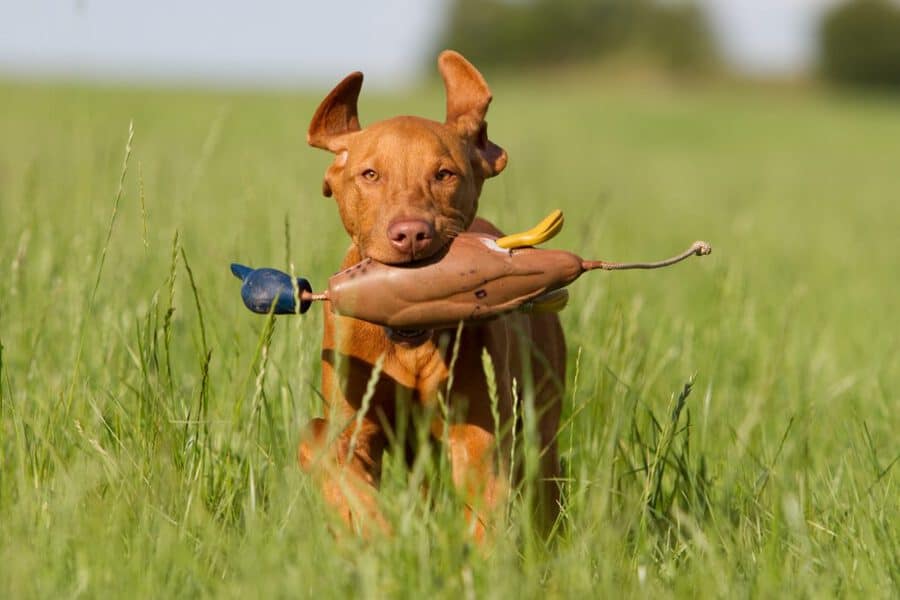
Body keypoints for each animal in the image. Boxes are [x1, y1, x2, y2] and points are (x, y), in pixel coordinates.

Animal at [298, 50, 564, 540]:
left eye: (444, 174)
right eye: (370, 174)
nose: (411, 234)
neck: (410, 338)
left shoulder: (477, 430)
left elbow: (483, 505)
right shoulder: (356, 420)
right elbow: (322, 445)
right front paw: (369, 526)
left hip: (541, 419)